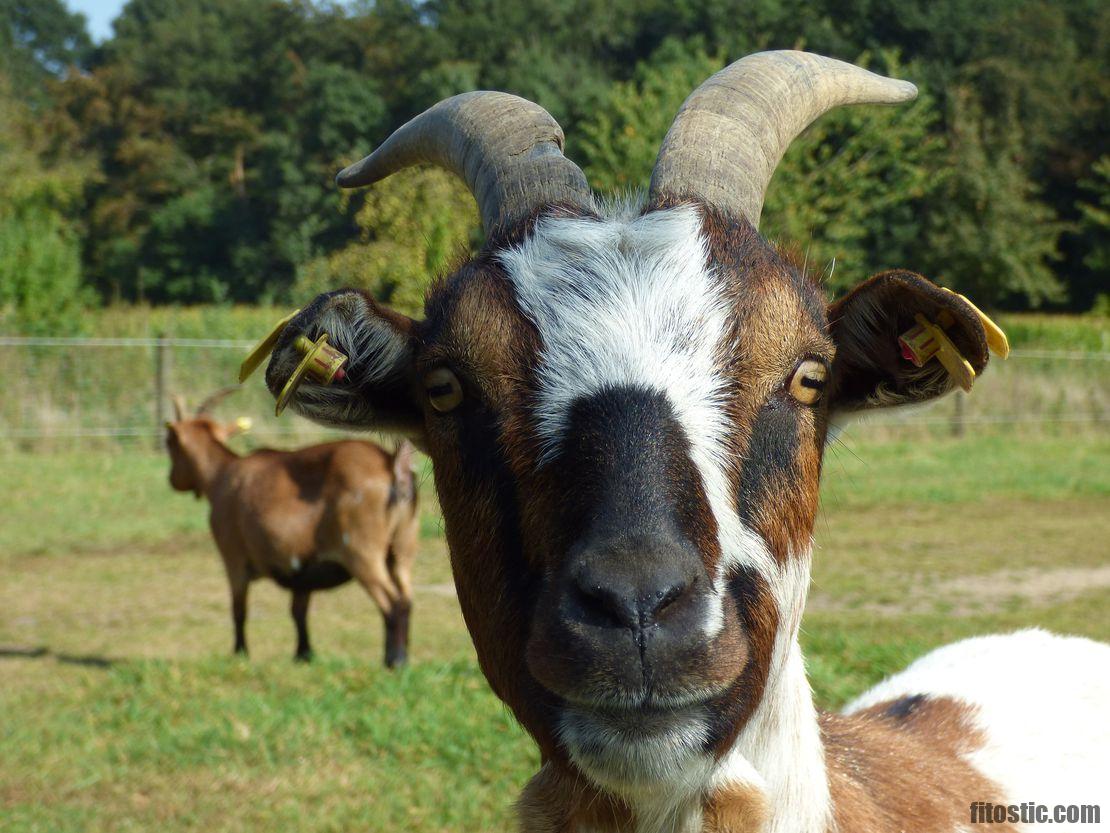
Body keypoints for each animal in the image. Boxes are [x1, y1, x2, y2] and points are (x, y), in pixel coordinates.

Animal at [164, 388, 419, 670]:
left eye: (169, 443)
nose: (172, 480)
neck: (222, 474)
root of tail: (393, 467)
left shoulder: (233, 556)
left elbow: (239, 609)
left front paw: (240, 653)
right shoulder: (302, 566)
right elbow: (298, 611)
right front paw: (303, 654)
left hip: (361, 551)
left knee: (392, 602)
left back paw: (394, 660)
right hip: (402, 548)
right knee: (407, 598)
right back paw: (404, 656)